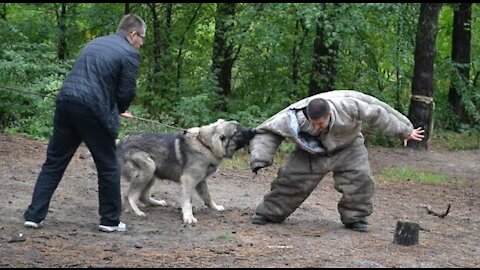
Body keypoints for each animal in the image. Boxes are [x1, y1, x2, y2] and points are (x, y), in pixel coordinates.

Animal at [96, 119, 255, 224]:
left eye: (240, 125)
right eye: (237, 132)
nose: (253, 130)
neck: (205, 145)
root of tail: (120, 143)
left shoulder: (201, 181)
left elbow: (208, 197)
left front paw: (215, 207)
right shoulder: (188, 180)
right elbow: (188, 201)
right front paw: (188, 216)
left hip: (153, 172)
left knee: (143, 196)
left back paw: (156, 203)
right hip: (148, 167)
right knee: (130, 196)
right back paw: (136, 211)